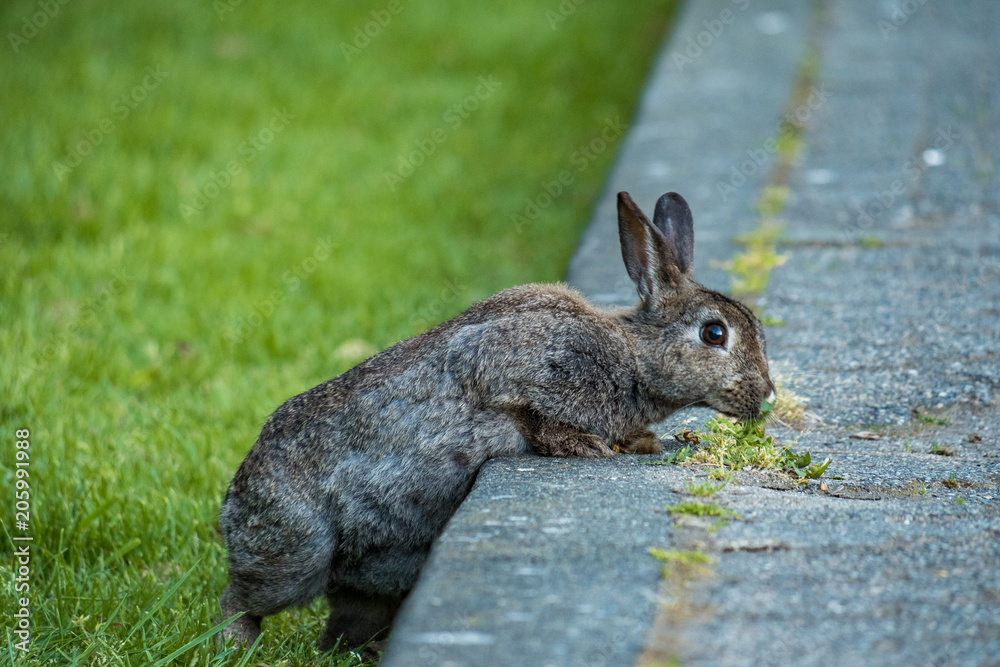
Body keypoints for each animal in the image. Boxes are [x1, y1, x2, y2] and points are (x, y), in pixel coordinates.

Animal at [218, 190, 775, 653]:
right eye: (713, 333)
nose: (767, 397)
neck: (634, 356)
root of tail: (232, 504)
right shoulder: (511, 364)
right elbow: (527, 414)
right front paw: (585, 447)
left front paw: (643, 443)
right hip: (297, 551)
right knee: (242, 597)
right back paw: (236, 645)